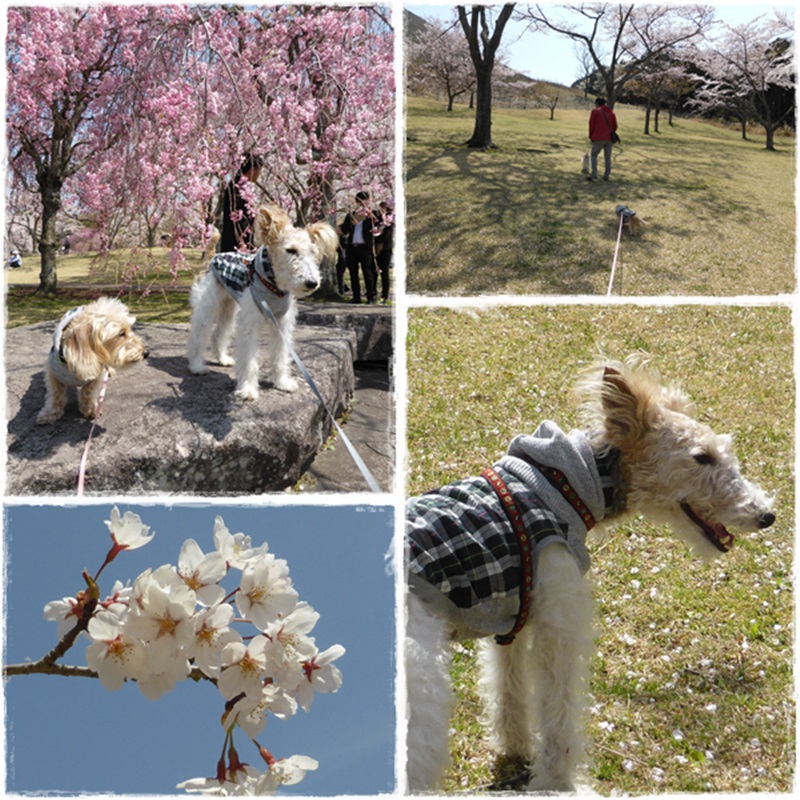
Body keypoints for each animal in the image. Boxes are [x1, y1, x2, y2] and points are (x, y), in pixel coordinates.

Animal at [37, 296, 151, 424]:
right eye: (121, 333)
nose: (146, 353)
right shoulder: (53, 374)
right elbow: (56, 393)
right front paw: (50, 413)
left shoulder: (97, 375)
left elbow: (88, 391)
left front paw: (90, 409)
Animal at [188, 205, 338, 400]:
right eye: (290, 250)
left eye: (313, 253)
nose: (312, 283)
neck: (273, 286)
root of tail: (214, 256)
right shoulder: (250, 323)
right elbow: (250, 360)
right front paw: (248, 390)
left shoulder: (282, 323)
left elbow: (281, 355)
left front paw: (282, 382)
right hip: (207, 306)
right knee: (198, 336)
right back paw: (197, 366)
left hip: (229, 308)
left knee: (219, 334)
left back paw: (223, 359)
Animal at [406, 358, 776, 792]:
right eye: (702, 457)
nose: (766, 515)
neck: (566, 485)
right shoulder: (560, 625)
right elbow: (559, 718)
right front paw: (559, 782)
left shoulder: (511, 618)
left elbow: (508, 690)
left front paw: (516, 750)